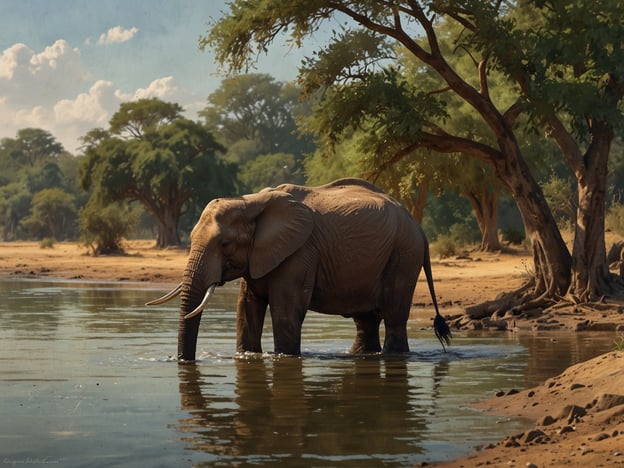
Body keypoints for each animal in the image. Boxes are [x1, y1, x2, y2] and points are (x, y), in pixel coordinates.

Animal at [149, 177, 450, 360]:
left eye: (224, 244)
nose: (181, 360)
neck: (251, 202)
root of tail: (418, 227)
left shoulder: (300, 252)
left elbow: (286, 311)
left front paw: (284, 358)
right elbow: (246, 309)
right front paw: (248, 356)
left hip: (404, 254)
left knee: (394, 315)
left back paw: (393, 357)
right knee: (365, 319)